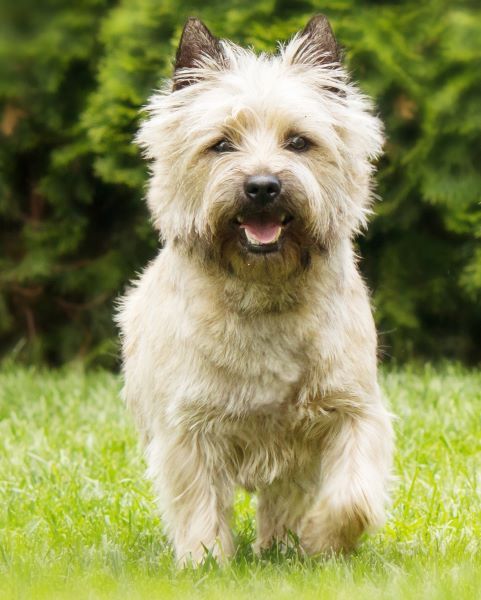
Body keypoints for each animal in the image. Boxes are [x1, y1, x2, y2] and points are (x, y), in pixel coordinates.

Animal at [117, 15, 394, 568]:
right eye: (222, 144)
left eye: (300, 142)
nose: (263, 186)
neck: (262, 289)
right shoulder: (189, 426)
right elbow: (198, 499)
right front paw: (204, 562)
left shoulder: (352, 408)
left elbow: (353, 495)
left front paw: (321, 541)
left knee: (285, 497)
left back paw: (283, 546)